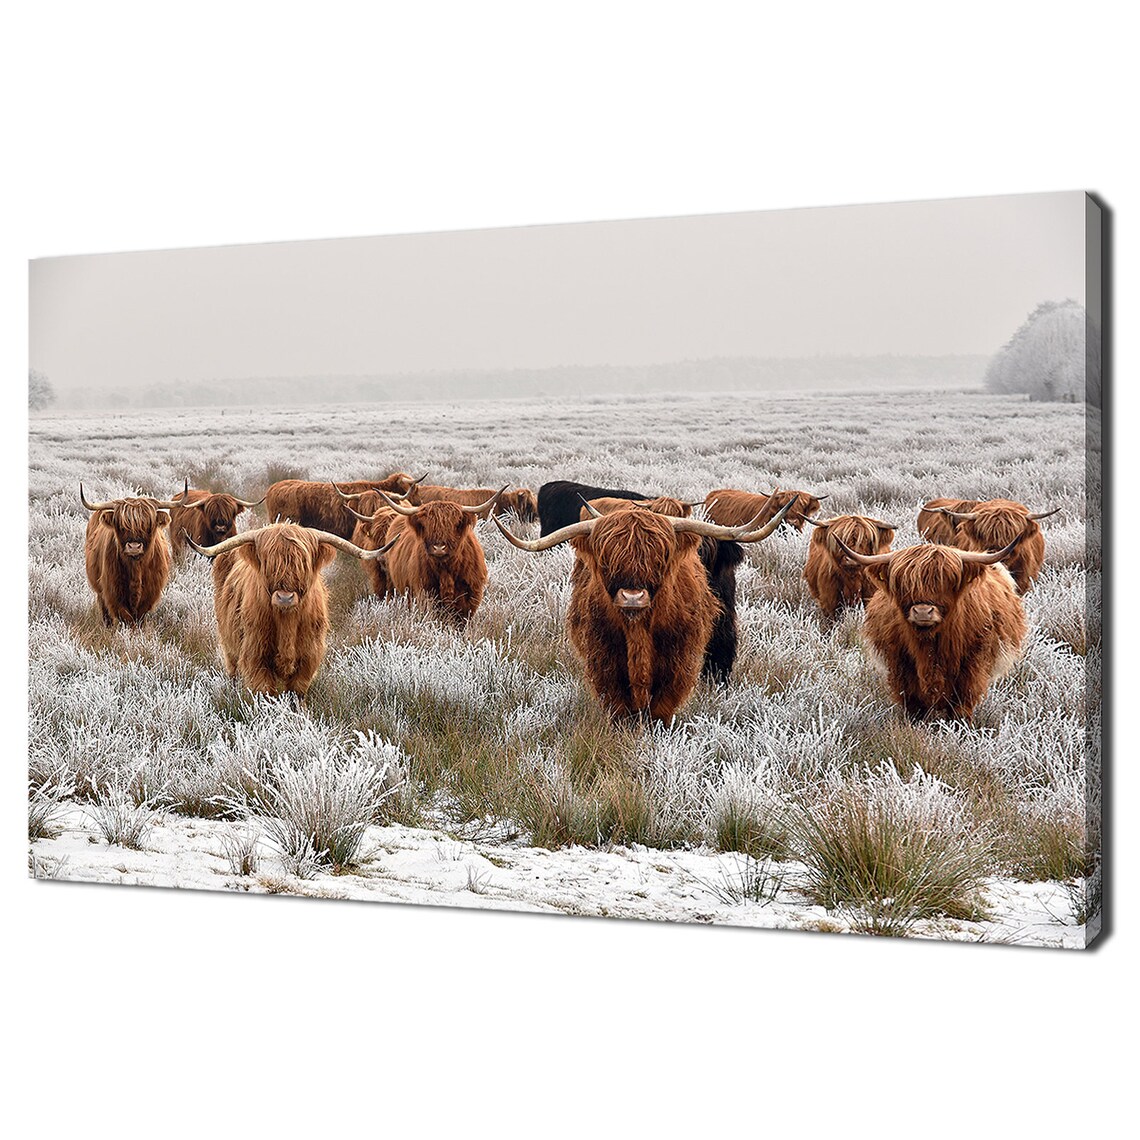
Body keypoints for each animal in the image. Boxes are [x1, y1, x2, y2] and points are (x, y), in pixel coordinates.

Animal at [80, 485, 184, 625]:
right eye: (121, 525)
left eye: (148, 525)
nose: (134, 547)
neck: (136, 568)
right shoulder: (113, 593)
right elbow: (126, 618)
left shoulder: (150, 595)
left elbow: (138, 618)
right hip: (100, 591)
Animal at [186, 522, 396, 697]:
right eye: (268, 563)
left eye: (303, 563)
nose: (285, 597)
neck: (286, 623)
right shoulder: (256, 655)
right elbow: (265, 693)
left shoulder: (308, 657)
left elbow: (297, 692)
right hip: (229, 644)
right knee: (233, 670)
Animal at [362, 488, 503, 621]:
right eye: (427, 525)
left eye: (454, 524)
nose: (439, 548)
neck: (446, 570)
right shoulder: (425, 593)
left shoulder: (470, 597)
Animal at [494, 500, 792, 722]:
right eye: (607, 559)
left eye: (660, 557)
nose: (632, 597)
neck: (638, 629)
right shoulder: (603, 657)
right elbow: (618, 703)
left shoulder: (678, 657)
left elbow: (662, 703)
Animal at [834, 535, 1027, 720]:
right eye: (904, 584)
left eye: (947, 582)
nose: (922, 612)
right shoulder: (900, 664)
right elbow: (913, 703)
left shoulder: (972, 664)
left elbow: (962, 703)